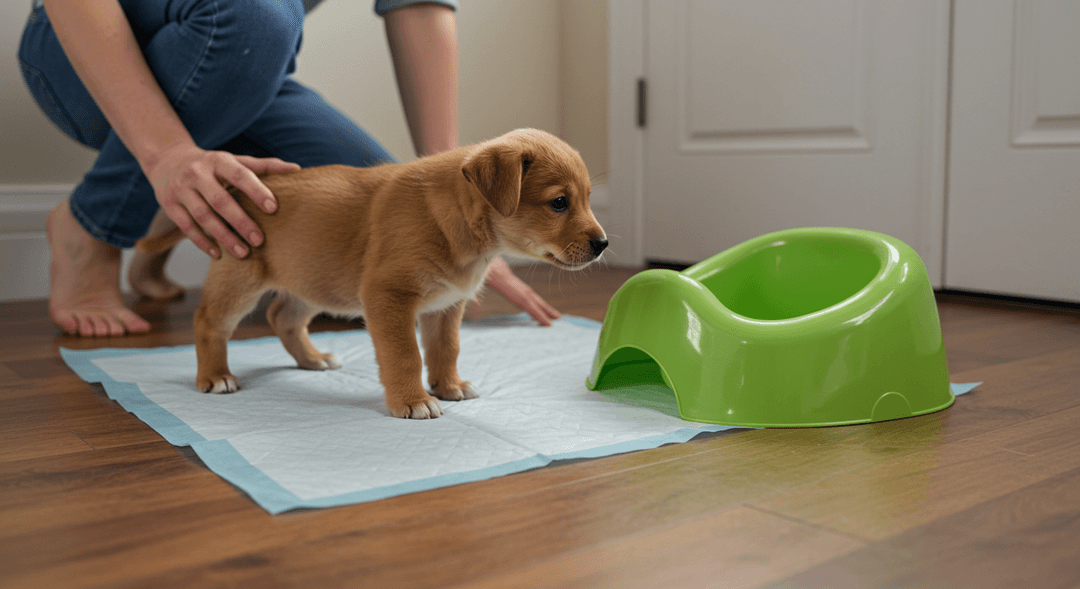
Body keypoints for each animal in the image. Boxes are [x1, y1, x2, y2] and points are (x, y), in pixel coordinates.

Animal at [137, 128, 609, 417]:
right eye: (559, 202)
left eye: (589, 198)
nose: (603, 244)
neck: (456, 223)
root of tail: (242, 188)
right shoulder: (389, 296)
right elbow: (406, 354)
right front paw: (414, 401)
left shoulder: (445, 306)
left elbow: (445, 349)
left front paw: (449, 385)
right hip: (240, 279)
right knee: (209, 322)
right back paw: (215, 376)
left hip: (311, 282)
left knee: (281, 317)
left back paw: (313, 359)